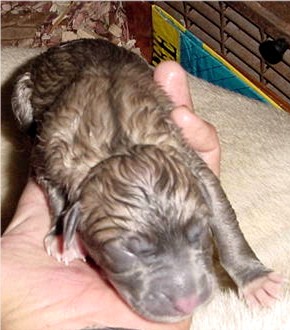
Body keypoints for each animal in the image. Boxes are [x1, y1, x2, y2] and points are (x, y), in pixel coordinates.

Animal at [12, 38, 282, 322]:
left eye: (198, 232)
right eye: (129, 251)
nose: (188, 302)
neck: (119, 146)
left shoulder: (186, 159)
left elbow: (222, 214)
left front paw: (255, 278)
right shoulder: (49, 154)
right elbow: (52, 190)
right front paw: (62, 236)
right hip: (21, 91)